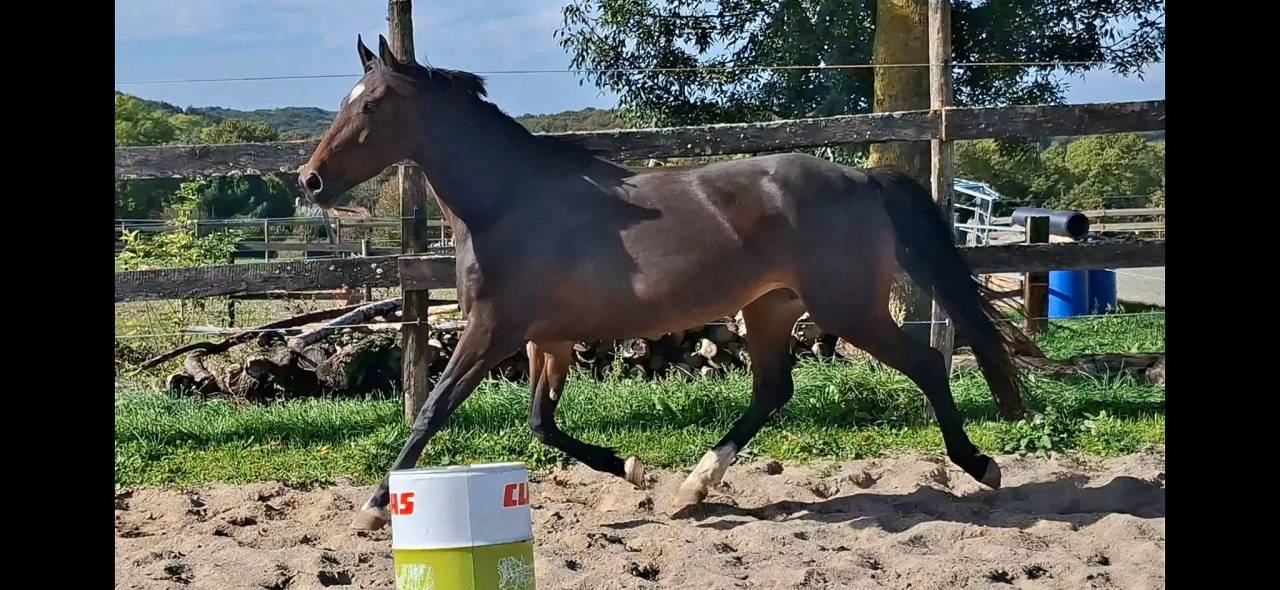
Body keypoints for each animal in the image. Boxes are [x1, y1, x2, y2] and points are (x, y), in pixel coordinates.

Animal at [299, 35, 1028, 530]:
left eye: (372, 106)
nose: (310, 181)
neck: (508, 203)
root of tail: (862, 178)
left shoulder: (490, 331)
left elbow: (432, 410)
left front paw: (373, 508)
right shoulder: (547, 340)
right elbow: (540, 425)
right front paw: (631, 468)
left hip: (848, 308)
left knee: (924, 364)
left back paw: (980, 465)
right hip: (771, 309)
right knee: (773, 390)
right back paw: (694, 486)